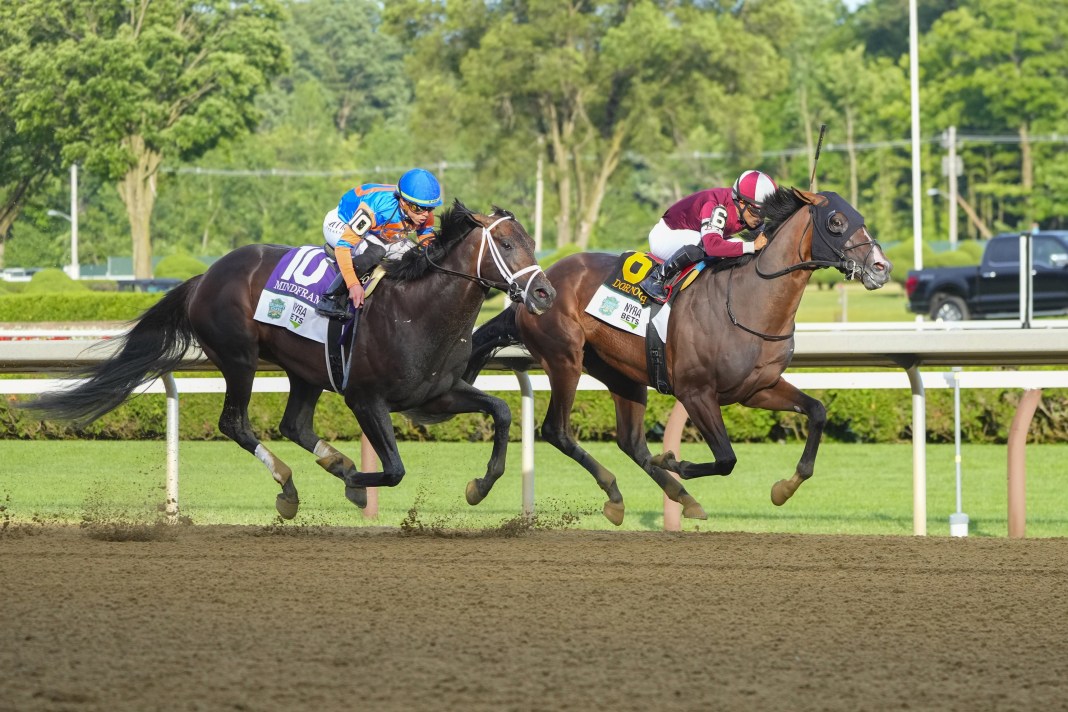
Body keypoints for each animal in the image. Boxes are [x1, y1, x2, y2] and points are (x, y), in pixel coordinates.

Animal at [28, 200, 555, 518]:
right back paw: (289, 485)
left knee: (294, 424)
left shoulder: (436, 394)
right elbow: (394, 469)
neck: (417, 308)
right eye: (507, 244)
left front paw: (479, 485)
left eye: (531, 242)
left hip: (306, 370)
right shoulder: (365, 398)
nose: (544, 293)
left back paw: (331, 463)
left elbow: (502, 411)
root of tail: (204, 277)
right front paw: (359, 481)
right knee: (236, 423)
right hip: (239, 359)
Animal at [467, 186, 892, 527]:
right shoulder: (696, 392)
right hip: (564, 359)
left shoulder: (758, 388)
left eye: (860, 219)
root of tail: (533, 288)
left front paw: (784, 489)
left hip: (622, 373)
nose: (881, 267)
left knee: (631, 442)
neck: (748, 300)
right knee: (556, 430)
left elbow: (817, 412)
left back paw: (665, 498)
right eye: (836, 222)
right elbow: (726, 459)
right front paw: (674, 461)